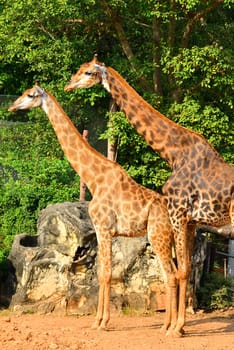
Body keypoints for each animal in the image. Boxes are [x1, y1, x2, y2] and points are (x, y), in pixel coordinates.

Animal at [9, 85, 177, 330]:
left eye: (30, 95)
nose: (12, 106)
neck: (94, 179)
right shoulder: (103, 231)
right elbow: (103, 273)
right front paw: (100, 319)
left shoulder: (103, 228)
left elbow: (104, 274)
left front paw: (100, 321)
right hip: (168, 239)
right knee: (176, 273)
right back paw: (174, 325)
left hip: (158, 236)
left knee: (171, 275)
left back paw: (171, 327)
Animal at [64, 56, 234, 338]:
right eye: (78, 70)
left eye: (87, 72)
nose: (68, 86)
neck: (173, 152)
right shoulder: (191, 222)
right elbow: (185, 270)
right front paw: (178, 327)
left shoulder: (178, 213)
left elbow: (181, 271)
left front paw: (176, 328)